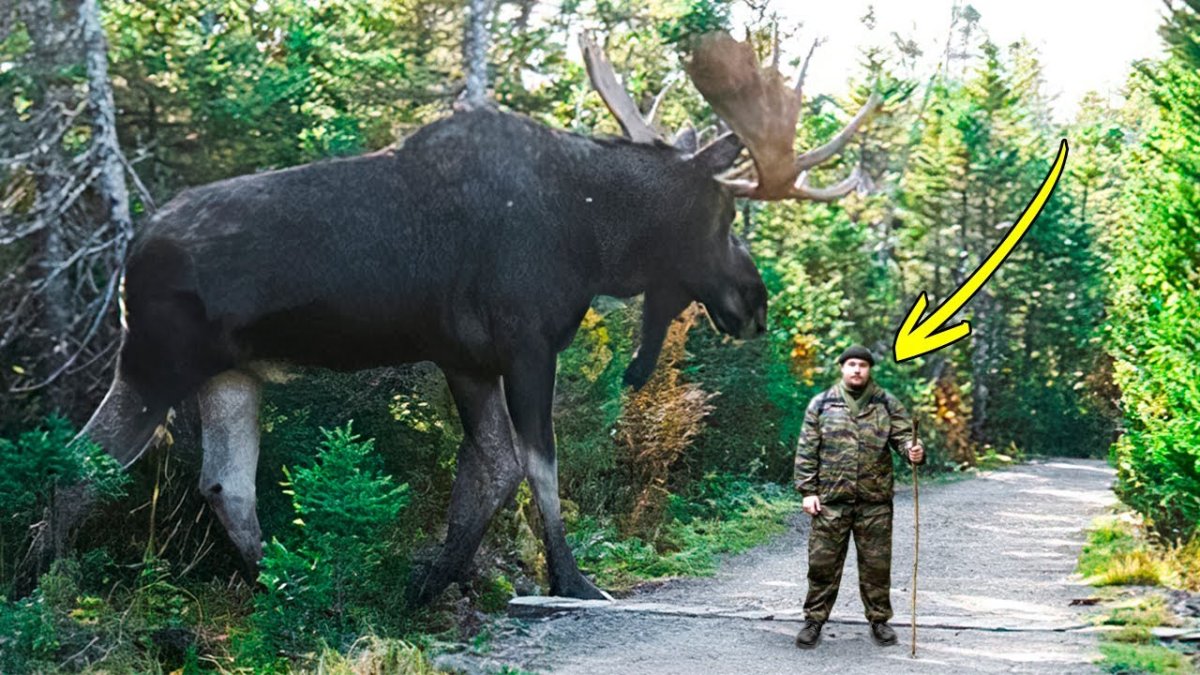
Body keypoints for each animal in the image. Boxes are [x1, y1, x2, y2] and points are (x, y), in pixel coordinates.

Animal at [19, 31, 879, 603]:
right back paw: (38, 590)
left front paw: (431, 582)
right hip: (156, 360)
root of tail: (129, 254)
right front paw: (570, 578)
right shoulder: (527, 342)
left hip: (232, 374)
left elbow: (490, 468)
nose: (754, 300)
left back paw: (295, 590)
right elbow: (538, 467)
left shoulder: (464, 355)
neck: (593, 233)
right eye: (723, 215)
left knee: (224, 484)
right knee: (77, 468)